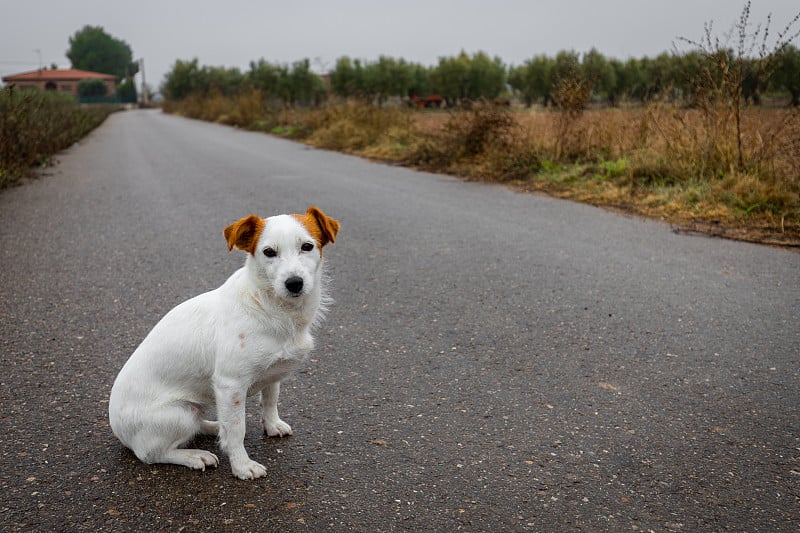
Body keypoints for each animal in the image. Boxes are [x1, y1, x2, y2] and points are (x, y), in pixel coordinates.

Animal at [108, 207, 338, 478]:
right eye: (268, 252)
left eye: (307, 246)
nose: (294, 283)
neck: (272, 306)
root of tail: (118, 430)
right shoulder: (231, 385)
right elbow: (237, 430)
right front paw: (242, 466)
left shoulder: (272, 374)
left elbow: (270, 400)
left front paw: (272, 425)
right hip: (180, 414)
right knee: (151, 453)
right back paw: (195, 455)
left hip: (194, 410)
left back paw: (213, 427)